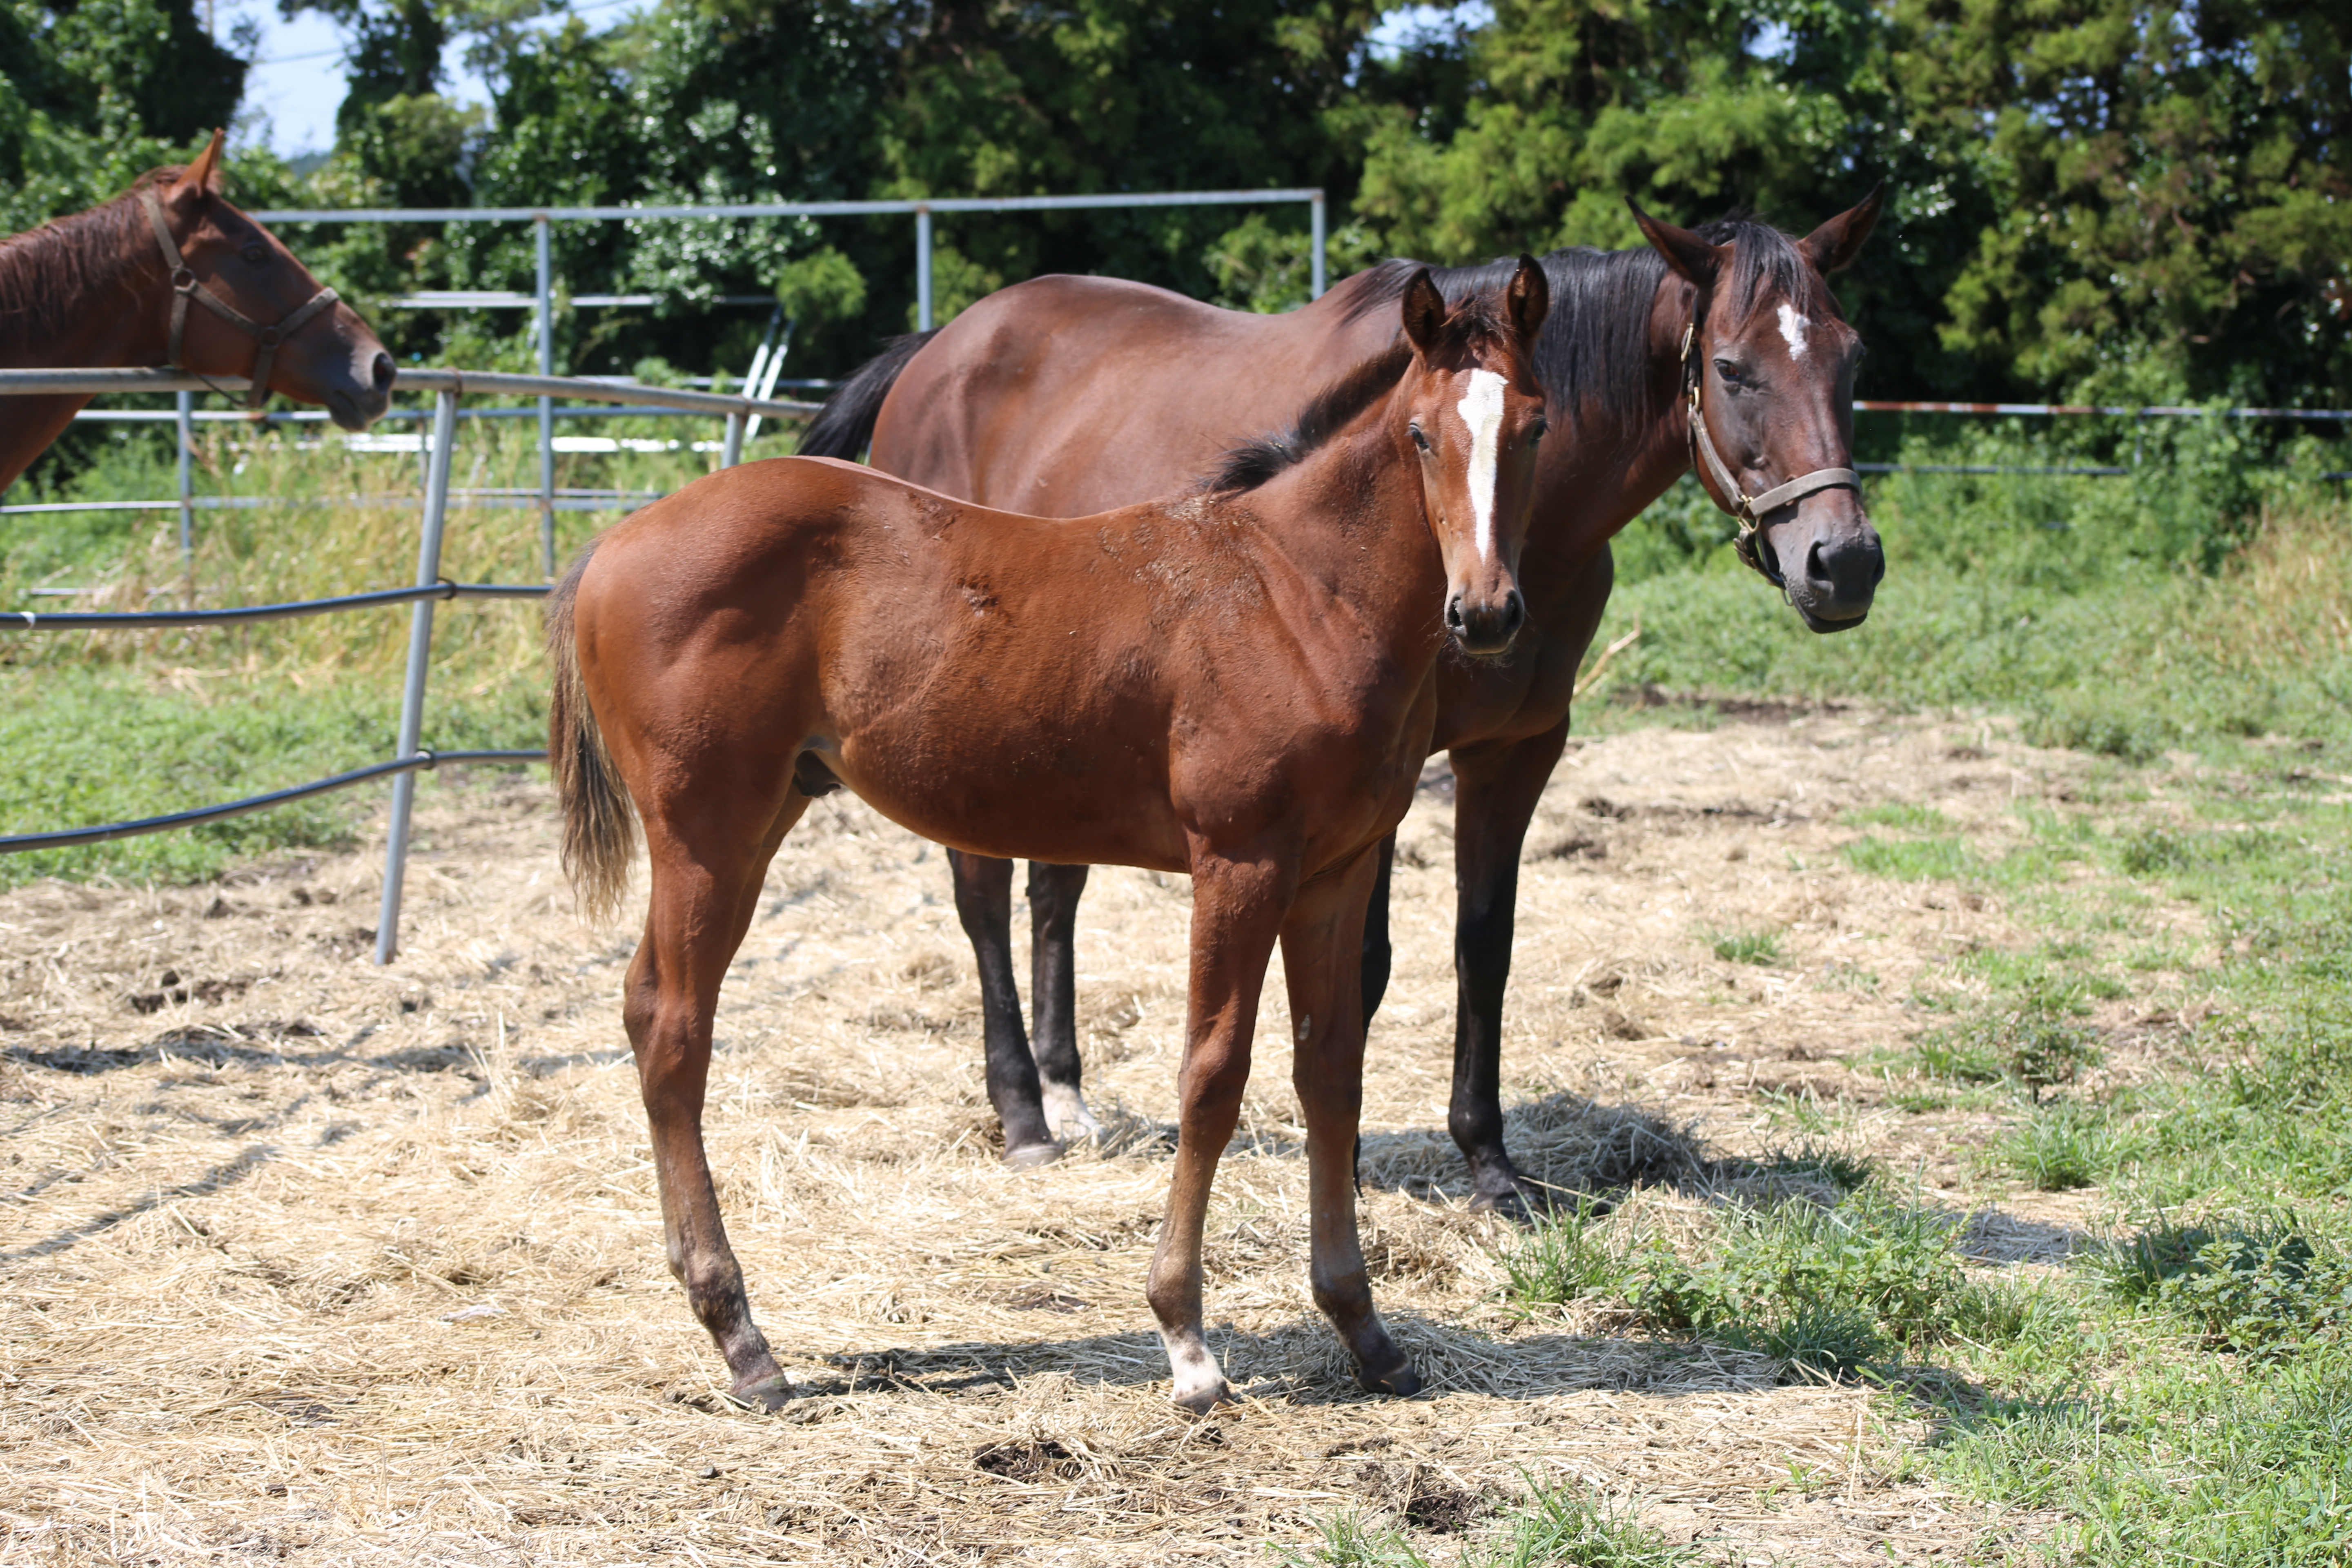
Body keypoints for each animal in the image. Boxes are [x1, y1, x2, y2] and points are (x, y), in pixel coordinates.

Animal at [541, 257, 1552, 1410]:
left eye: (1534, 426)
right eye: (1422, 435)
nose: (1486, 612)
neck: (1295, 593)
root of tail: (614, 542)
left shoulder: (1334, 872)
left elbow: (1330, 1073)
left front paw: (1364, 1329)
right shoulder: (1239, 862)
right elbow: (1213, 1076)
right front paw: (1185, 1339)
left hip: (754, 821)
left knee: (644, 1006)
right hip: (707, 831)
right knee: (674, 1027)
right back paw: (742, 1337)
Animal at [809, 190, 1891, 1213]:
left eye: (1851, 360)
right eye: (1730, 367)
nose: (1842, 563)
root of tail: (937, 350)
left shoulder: (1518, 749)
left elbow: (1483, 946)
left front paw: (1489, 1163)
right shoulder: (1376, 771)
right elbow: (1361, 965)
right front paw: (1348, 1157)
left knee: (1052, 887)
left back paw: (1067, 1092)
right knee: (981, 894)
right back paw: (1023, 1113)